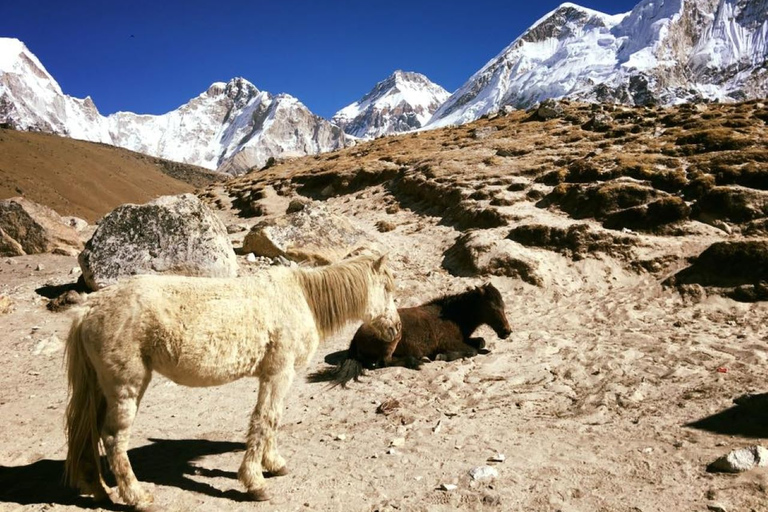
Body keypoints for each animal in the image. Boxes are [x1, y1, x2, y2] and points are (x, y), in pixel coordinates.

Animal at [65, 254, 400, 510]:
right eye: (386, 288)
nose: (396, 328)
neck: (301, 298)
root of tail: (88, 308)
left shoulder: (273, 376)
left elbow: (272, 419)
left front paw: (274, 463)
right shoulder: (279, 373)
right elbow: (265, 420)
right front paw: (255, 482)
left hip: (102, 389)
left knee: (89, 433)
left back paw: (98, 490)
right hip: (127, 386)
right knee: (112, 438)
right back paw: (137, 497)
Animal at [308, 282, 512, 386]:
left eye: (503, 304)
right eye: (492, 307)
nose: (506, 332)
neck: (453, 316)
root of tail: (356, 337)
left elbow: (480, 342)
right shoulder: (450, 343)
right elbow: (472, 351)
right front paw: (441, 356)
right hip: (392, 341)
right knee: (383, 362)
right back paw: (416, 361)